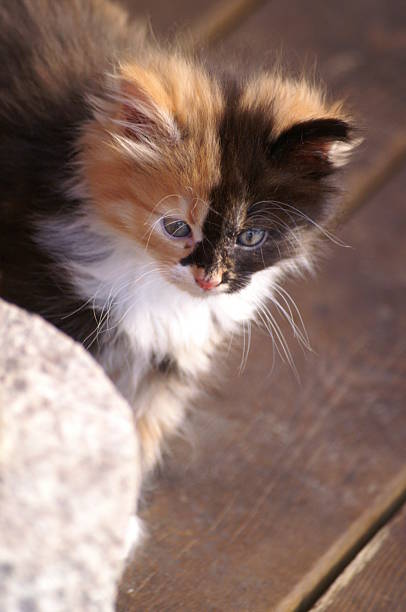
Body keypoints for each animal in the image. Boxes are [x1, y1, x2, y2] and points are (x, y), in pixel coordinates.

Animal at [0, 0, 356, 548]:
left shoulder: (169, 355)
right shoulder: (49, 306)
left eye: (250, 237)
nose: (209, 279)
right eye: (175, 227)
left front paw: (111, 522)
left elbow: (136, 429)